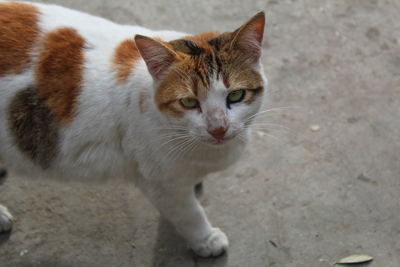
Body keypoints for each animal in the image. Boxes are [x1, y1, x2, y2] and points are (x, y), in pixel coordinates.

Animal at [0, 1, 268, 258]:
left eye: (236, 95)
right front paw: (206, 240)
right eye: (189, 102)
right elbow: (189, 213)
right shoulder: (159, 181)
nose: (218, 129)